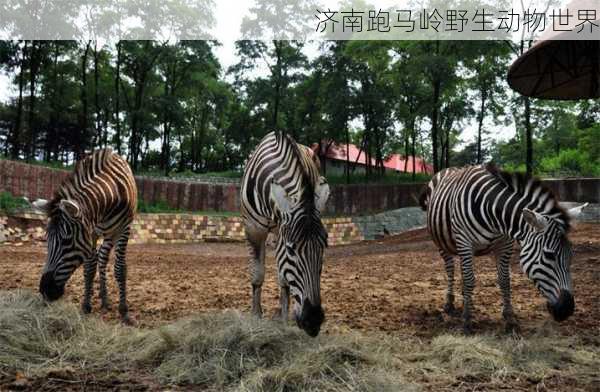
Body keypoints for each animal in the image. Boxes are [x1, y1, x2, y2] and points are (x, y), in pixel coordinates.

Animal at [32, 149, 137, 324]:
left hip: (111, 234)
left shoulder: (124, 229)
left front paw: (124, 311)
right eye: (47, 240)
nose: (45, 290)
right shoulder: (90, 233)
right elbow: (89, 268)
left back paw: (104, 297)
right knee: (99, 259)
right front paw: (86, 306)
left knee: (103, 257)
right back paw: (100, 295)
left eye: (66, 240)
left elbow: (120, 269)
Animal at [241, 132, 330, 336]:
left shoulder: (282, 230)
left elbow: (284, 279)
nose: (313, 321)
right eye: (291, 250)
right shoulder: (253, 228)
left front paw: (283, 319)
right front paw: (256, 316)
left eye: (324, 248)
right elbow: (257, 273)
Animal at [422, 164, 584, 332]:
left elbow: (504, 280)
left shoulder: (505, 245)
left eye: (571, 255)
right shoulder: (464, 241)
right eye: (549, 256)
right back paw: (450, 302)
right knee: (450, 270)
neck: (492, 212)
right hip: (442, 242)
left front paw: (509, 317)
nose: (567, 310)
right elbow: (469, 279)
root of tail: (449, 168)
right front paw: (466, 320)